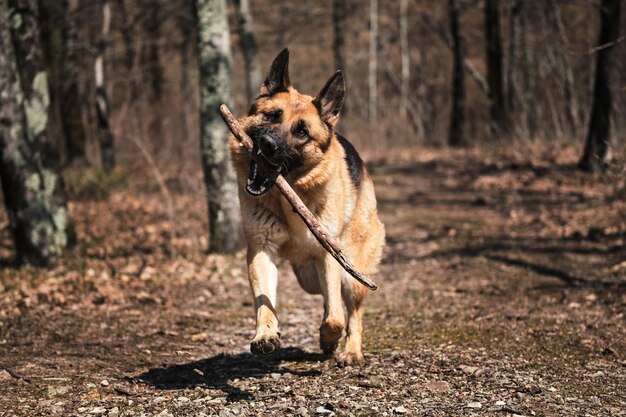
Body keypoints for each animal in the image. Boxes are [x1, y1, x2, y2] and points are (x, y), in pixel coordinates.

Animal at [229, 48, 382, 360]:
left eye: (302, 132)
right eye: (272, 116)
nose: (267, 144)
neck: (290, 196)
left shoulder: (328, 256)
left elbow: (336, 318)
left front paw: (329, 338)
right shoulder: (261, 251)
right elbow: (264, 303)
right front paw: (265, 335)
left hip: (353, 274)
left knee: (352, 312)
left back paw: (351, 351)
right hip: (308, 277)